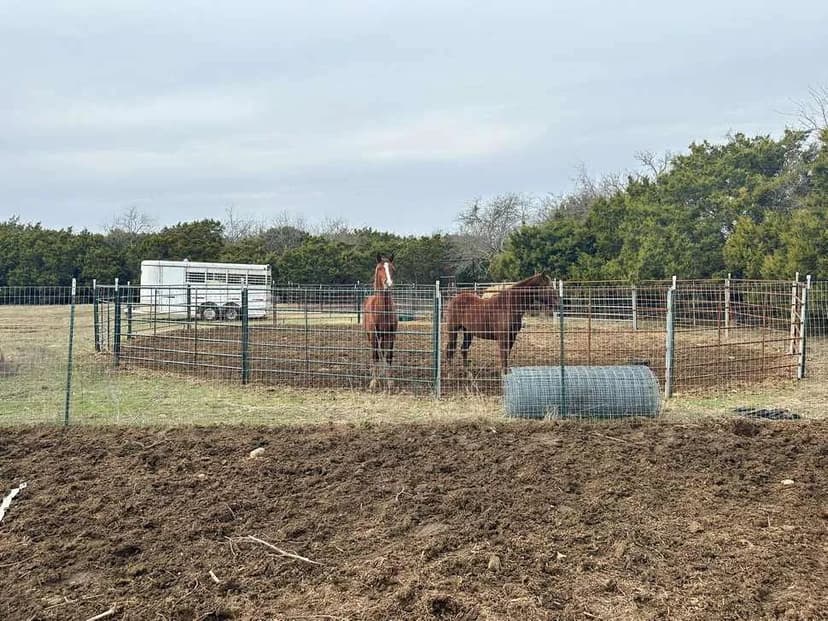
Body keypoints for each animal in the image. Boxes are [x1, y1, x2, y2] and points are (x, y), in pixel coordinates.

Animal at [363, 253, 398, 390]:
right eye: (380, 269)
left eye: (392, 269)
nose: (388, 283)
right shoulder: (374, 335)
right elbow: (375, 356)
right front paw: (374, 382)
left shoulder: (390, 335)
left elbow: (388, 357)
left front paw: (390, 382)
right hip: (372, 337)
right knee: (376, 353)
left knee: (383, 352)